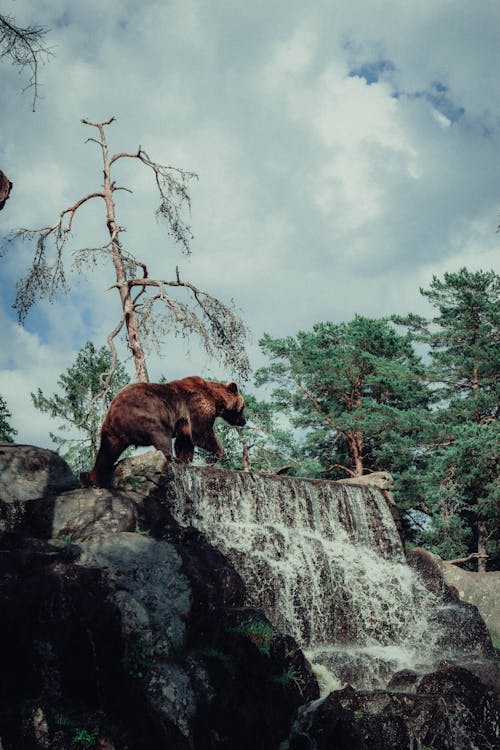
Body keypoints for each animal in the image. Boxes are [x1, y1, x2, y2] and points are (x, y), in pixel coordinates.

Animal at [80, 378, 246, 490]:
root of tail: (114, 414)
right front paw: (216, 454)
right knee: (161, 436)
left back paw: (91, 478)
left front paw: (186, 459)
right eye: (243, 406)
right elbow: (201, 432)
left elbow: (185, 440)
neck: (216, 399)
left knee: (106, 453)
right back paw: (171, 458)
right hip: (148, 412)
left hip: (111, 432)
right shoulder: (197, 405)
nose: (244, 421)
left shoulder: (183, 421)